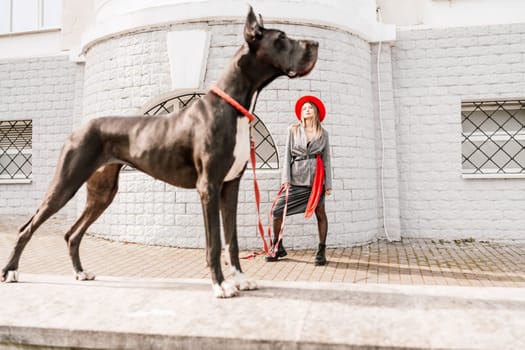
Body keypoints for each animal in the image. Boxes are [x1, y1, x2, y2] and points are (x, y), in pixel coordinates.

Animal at [2, 6, 318, 298]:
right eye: (282, 38)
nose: (315, 44)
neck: (233, 107)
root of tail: (78, 129)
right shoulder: (208, 186)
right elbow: (215, 241)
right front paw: (220, 285)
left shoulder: (230, 186)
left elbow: (232, 239)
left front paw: (240, 279)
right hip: (66, 183)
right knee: (27, 227)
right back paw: (12, 272)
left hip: (102, 192)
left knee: (72, 233)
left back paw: (80, 272)